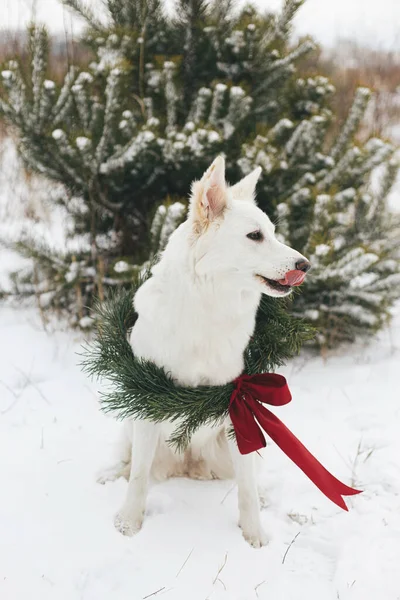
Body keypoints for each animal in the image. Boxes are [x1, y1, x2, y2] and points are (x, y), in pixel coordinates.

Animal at [99, 156, 310, 548]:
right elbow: (138, 477)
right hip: (129, 428)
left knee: (248, 476)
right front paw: (129, 523)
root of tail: (189, 463)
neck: (207, 306)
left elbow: (245, 488)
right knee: (130, 462)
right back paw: (111, 475)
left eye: (273, 233)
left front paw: (254, 535)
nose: (305, 265)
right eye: (255, 236)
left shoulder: (239, 404)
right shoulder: (147, 402)